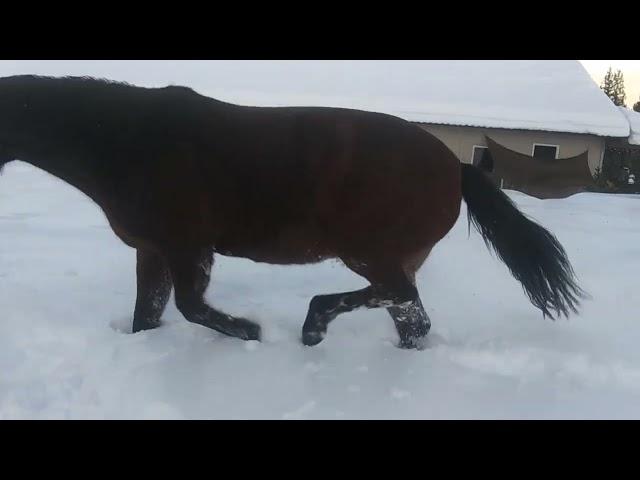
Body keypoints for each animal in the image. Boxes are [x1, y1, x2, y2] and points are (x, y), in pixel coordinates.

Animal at [0, 75, 584, 348]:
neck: (129, 142)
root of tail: (457, 166)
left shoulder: (189, 247)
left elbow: (192, 307)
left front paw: (250, 332)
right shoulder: (152, 250)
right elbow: (149, 314)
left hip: (370, 254)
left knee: (397, 300)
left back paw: (314, 324)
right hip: (397, 258)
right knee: (410, 316)